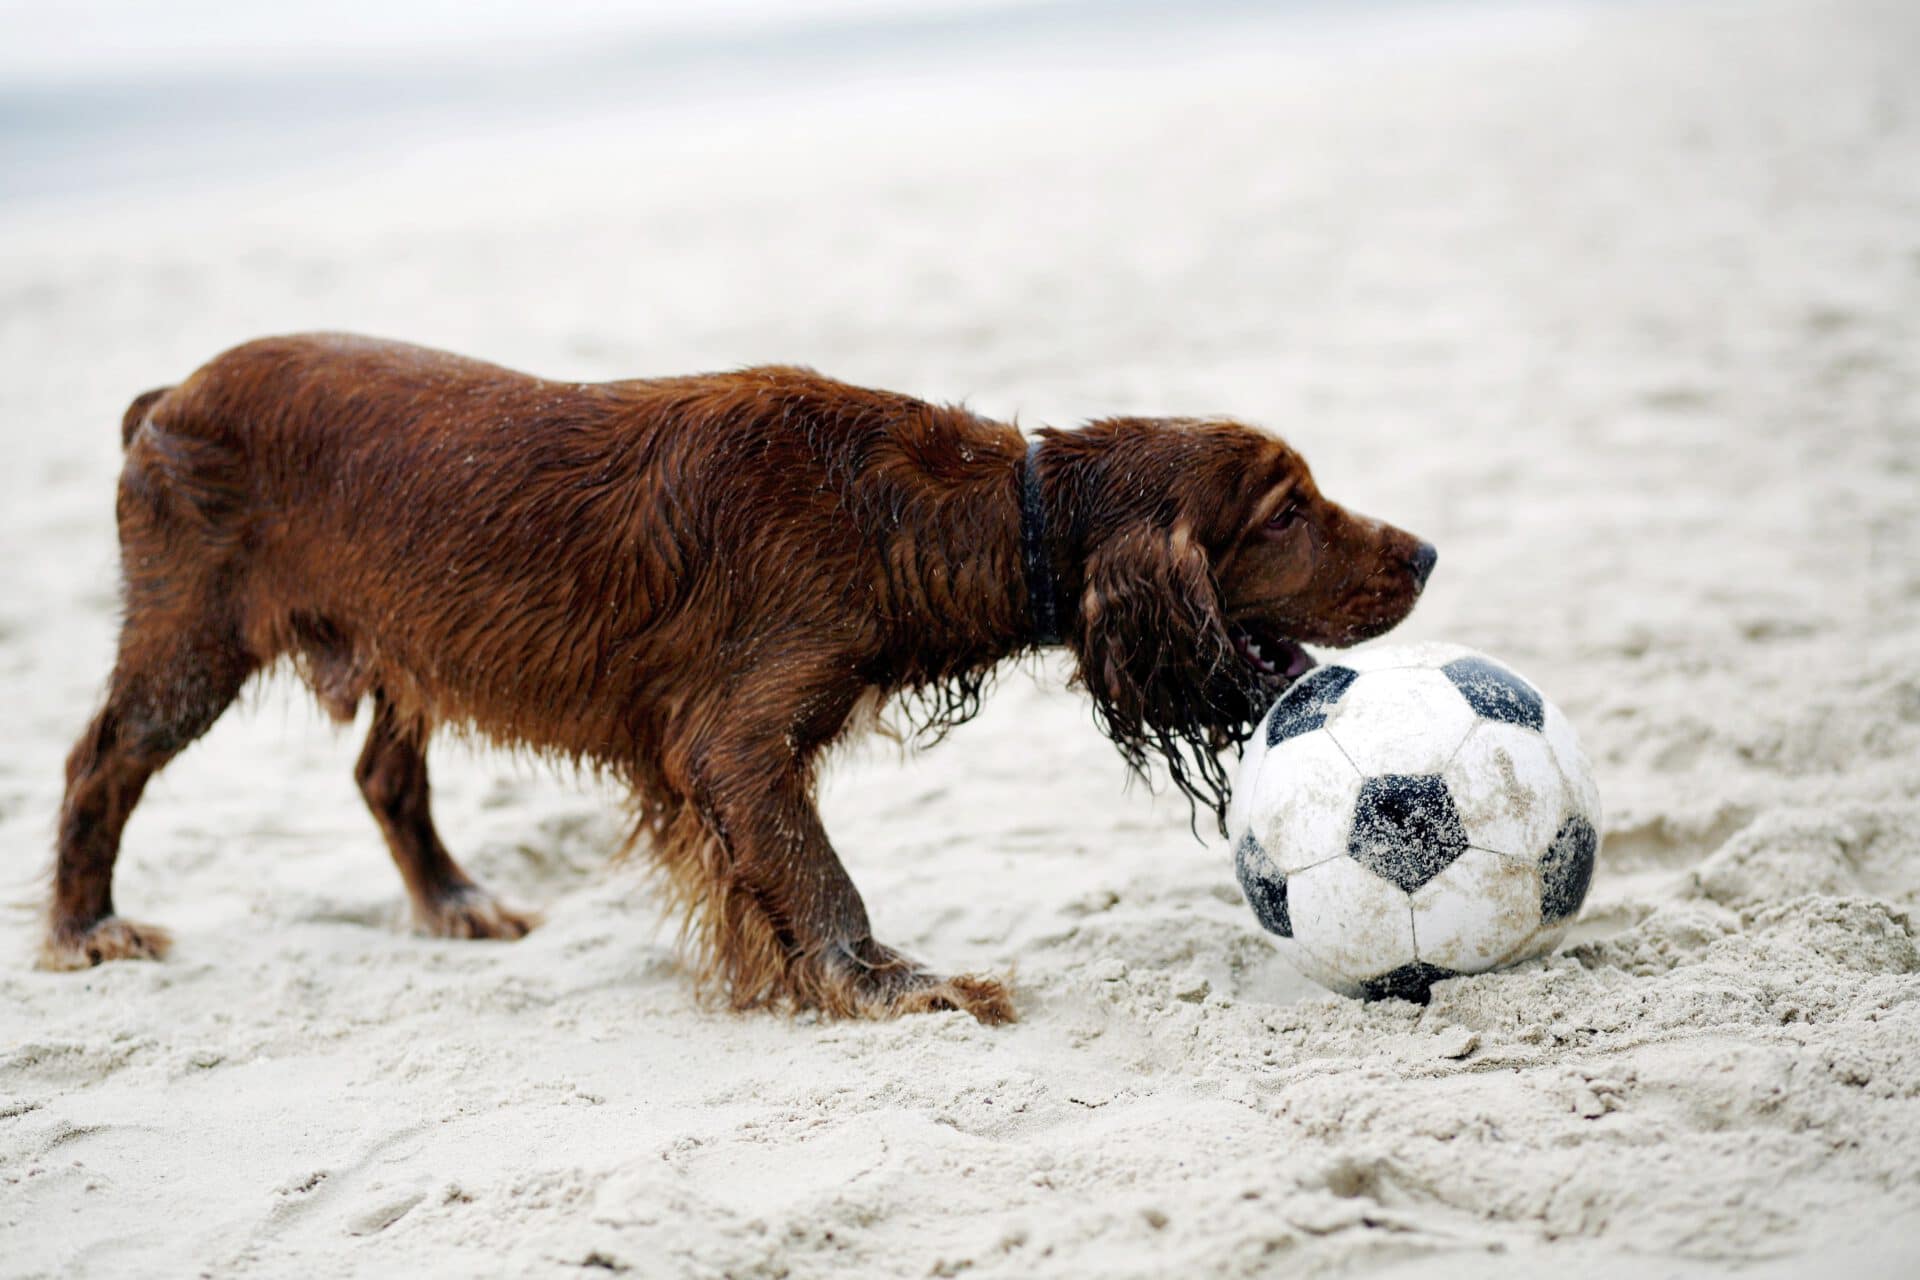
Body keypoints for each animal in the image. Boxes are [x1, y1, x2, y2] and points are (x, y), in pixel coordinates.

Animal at [45, 335, 1436, 1028]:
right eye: (1288, 509)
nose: (1426, 550)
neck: (941, 510)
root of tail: (171, 391)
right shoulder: (731, 741)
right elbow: (820, 881)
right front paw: (893, 986)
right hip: (190, 646)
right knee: (97, 761)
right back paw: (83, 926)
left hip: (407, 645)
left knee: (385, 773)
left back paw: (452, 900)